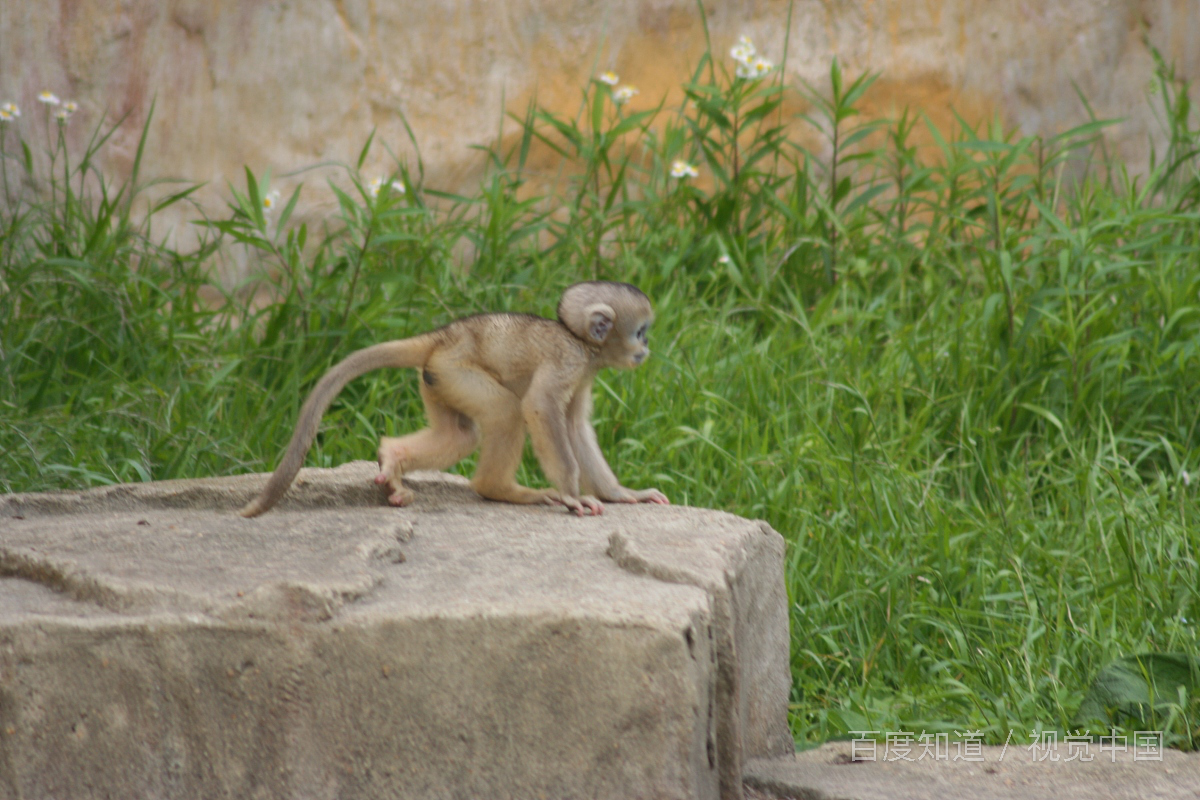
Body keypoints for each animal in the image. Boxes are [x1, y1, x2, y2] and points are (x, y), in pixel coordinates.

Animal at [238, 281, 672, 520]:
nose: (647, 349)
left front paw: (621, 494)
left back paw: (393, 457)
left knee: (463, 434)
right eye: (641, 332)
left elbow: (575, 426)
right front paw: (572, 494)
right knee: (507, 412)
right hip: (455, 369)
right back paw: (498, 489)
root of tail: (445, 335)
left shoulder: (584, 373)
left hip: (437, 377)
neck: (581, 342)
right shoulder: (570, 361)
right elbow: (540, 407)